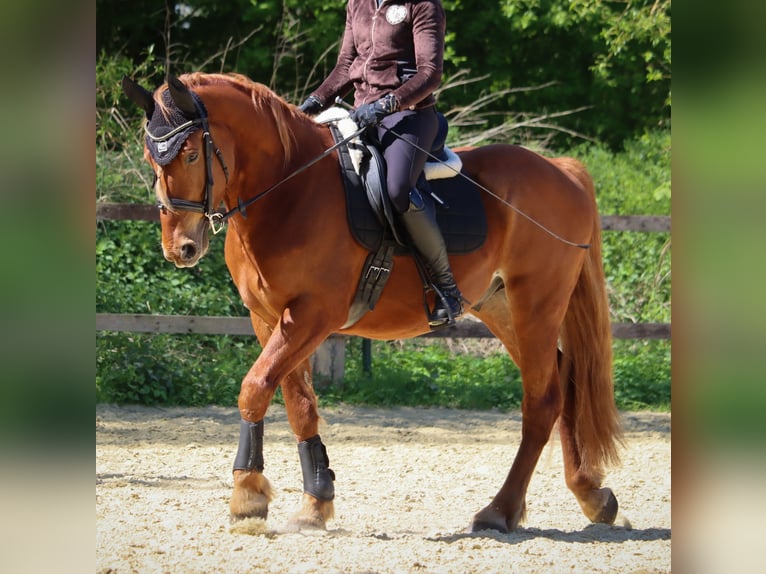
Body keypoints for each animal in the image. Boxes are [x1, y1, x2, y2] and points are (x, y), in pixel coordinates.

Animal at [122, 72, 622, 533]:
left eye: (191, 153)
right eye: (150, 157)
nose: (180, 248)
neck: (288, 188)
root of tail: (562, 170)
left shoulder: (313, 315)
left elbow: (255, 387)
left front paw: (247, 496)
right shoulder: (269, 318)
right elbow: (298, 404)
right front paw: (316, 502)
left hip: (536, 301)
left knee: (542, 399)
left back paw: (500, 511)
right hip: (499, 306)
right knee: (562, 380)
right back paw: (591, 495)